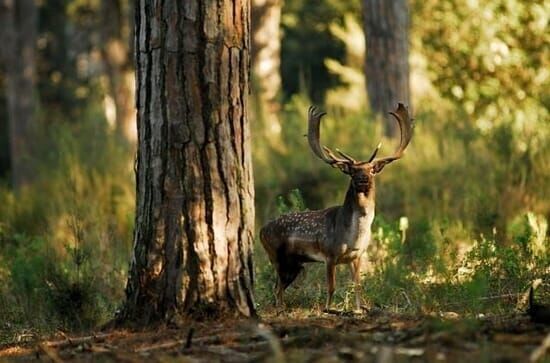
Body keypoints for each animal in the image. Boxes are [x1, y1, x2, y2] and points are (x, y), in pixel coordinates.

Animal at [260, 103, 414, 312]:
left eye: (371, 170)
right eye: (353, 171)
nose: (363, 179)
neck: (352, 237)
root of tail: (260, 230)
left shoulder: (357, 256)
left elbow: (357, 285)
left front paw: (359, 309)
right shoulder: (329, 254)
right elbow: (331, 286)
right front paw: (329, 309)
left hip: (295, 264)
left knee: (279, 287)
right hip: (276, 256)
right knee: (276, 286)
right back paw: (280, 309)